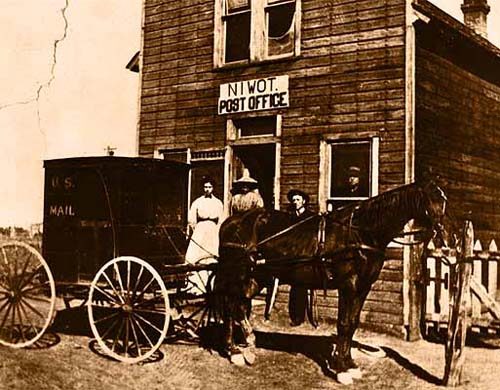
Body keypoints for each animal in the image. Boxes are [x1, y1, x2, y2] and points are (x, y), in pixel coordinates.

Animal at [213, 180, 448, 384]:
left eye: (444, 199)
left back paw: (247, 343)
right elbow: (343, 324)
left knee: (239, 304)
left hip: (256, 276)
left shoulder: (362, 288)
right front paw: (341, 369)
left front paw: (349, 364)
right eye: (432, 200)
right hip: (236, 273)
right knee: (229, 305)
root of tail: (230, 222)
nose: (444, 239)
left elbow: (352, 324)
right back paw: (233, 351)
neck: (361, 231)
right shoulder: (349, 285)